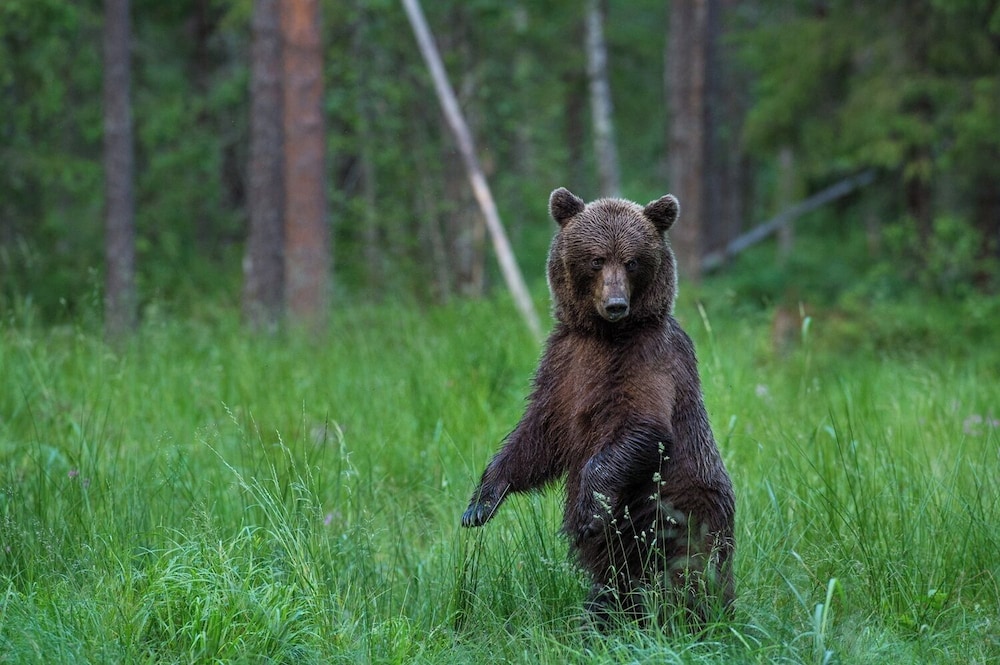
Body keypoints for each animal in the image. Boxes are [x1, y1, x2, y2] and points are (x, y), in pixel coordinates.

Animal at [461, 187, 735, 628]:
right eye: (596, 258)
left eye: (632, 260)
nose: (616, 303)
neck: (605, 335)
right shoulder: (564, 365)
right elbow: (537, 437)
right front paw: (481, 503)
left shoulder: (649, 359)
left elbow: (643, 427)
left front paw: (587, 512)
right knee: (612, 583)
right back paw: (599, 620)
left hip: (680, 511)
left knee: (689, 573)